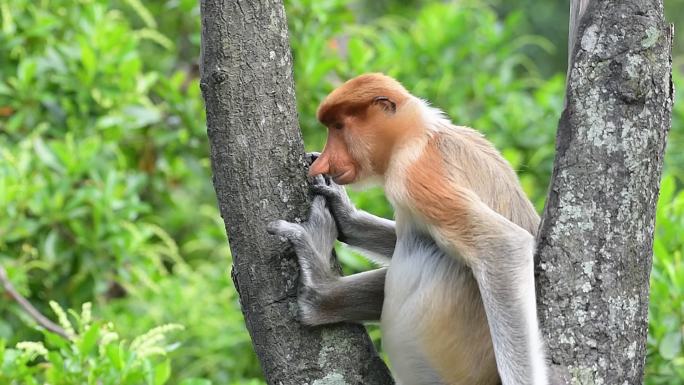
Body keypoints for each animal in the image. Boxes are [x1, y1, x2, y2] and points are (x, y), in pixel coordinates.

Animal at [266, 73, 544, 384]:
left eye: (339, 127)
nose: (321, 164)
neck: (418, 133)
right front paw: (341, 209)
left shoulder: (416, 172)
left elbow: (503, 244)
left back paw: (316, 292)